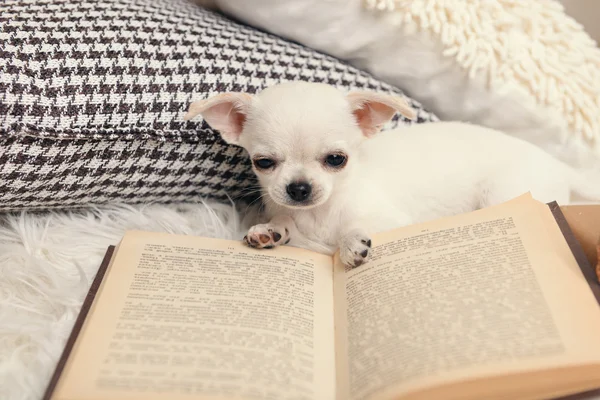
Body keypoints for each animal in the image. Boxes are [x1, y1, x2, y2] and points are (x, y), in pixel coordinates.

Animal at [185, 82, 596, 266]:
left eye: (337, 159)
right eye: (264, 162)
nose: (299, 188)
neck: (320, 215)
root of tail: (556, 163)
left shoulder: (393, 221)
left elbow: (351, 232)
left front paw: (351, 244)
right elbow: (285, 223)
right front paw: (269, 230)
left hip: (502, 193)